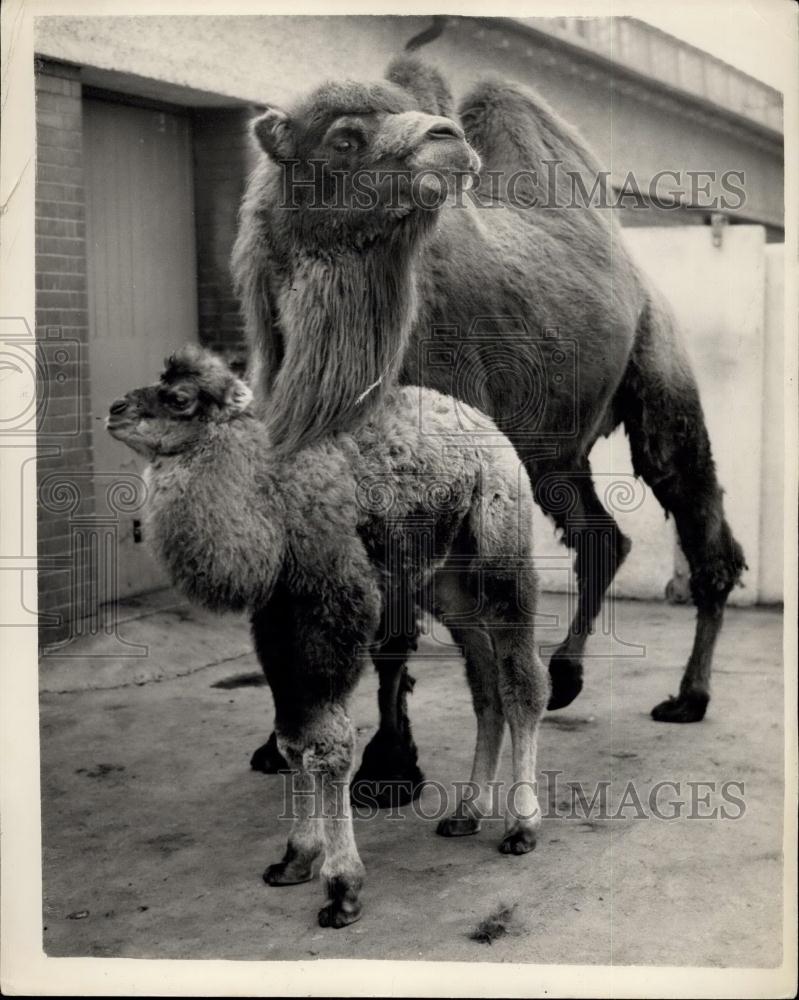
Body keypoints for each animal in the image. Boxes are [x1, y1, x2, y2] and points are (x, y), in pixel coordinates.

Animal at [106, 345, 549, 928]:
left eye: (180, 398)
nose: (114, 409)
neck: (270, 504)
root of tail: (487, 427)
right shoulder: (275, 621)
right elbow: (292, 739)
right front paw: (295, 858)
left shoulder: (335, 605)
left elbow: (330, 744)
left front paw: (341, 888)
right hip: (448, 579)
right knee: (484, 684)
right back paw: (465, 813)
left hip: (501, 546)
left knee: (522, 683)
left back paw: (522, 827)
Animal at [232, 55, 745, 798]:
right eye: (344, 137)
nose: (446, 140)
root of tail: (638, 275)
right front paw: (280, 747)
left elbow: (393, 627)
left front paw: (390, 765)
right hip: (551, 449)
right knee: (602, 535)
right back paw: (565, 675)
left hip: (658, 377)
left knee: (695, 511)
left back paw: (688, 696)